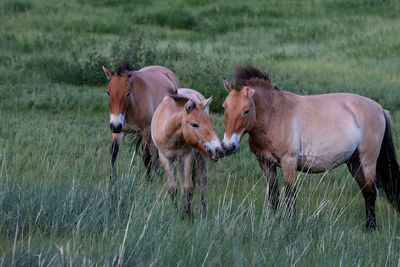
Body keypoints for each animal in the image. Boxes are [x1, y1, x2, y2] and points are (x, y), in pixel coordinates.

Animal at [151, 89, 225, 219]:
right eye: (194, 124)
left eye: (210, 121)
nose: (218, 150)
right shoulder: (165, 158)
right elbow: (173, 187)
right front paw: (177, 213)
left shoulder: (188, 157)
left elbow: (188, 187)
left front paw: (188, 215)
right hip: (178, 161)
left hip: (199, 158)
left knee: (201, 181)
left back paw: (202, 212)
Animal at [222, 65, 400, 230]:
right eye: (225, 108)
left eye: (246, 111)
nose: (228, 146)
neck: (275, 115)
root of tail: (380, 109)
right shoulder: (266, 164)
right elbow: (274, 196)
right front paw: (276, 222)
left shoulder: (289, 162)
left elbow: (290, 195)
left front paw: (291, 224)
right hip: (354, 162)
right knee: (365, 190)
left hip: (368, 160)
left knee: (371, 190)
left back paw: (371, 227)